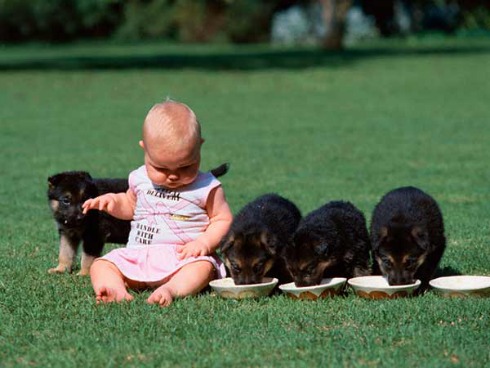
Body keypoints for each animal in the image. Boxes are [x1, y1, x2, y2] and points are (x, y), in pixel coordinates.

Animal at [47, 163, 229, 274]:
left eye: (85, 199)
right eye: (66, 200)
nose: (79, 217)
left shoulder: (94, 235)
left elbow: (88, 257)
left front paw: (83, 273)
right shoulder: (67, 233)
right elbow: (65, 252)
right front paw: (61, 269)